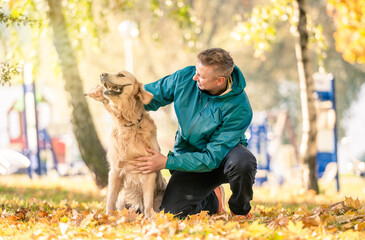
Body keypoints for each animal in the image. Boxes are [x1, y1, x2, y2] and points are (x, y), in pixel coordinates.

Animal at [85, 70, 165, 218]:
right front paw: (107, 217)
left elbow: (148, 203)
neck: (130, 123)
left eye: (121, 75)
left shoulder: (149, 170)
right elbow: (110, 199)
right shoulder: (115, 170)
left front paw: (148, 219)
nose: (102, 74)